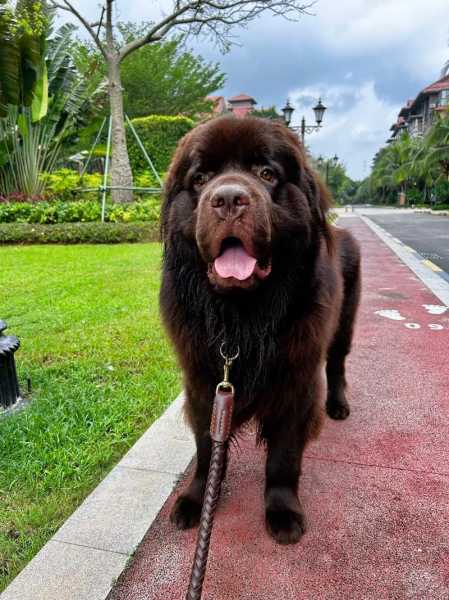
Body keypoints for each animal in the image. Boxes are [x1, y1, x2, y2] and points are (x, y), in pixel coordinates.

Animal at [159, 116, 358, 544]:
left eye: (267, 174)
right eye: (200, 178)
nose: (229, 199)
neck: (242, 317)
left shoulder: (296, 384)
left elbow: (283, 457)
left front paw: (282, 510)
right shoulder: (205, 385)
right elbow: (206, 449)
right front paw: (197, 499)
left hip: (344, 325)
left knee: (336, 364)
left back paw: (337, 404)